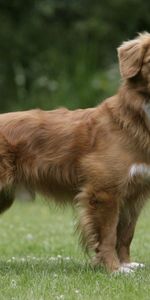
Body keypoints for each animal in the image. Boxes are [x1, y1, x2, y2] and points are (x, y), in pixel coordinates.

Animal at [0, 32, 150, 272]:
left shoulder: (135, 194)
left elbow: (126, 234)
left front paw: (127, 264)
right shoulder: (104, 192)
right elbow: (108, 235)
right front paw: (113, 269)